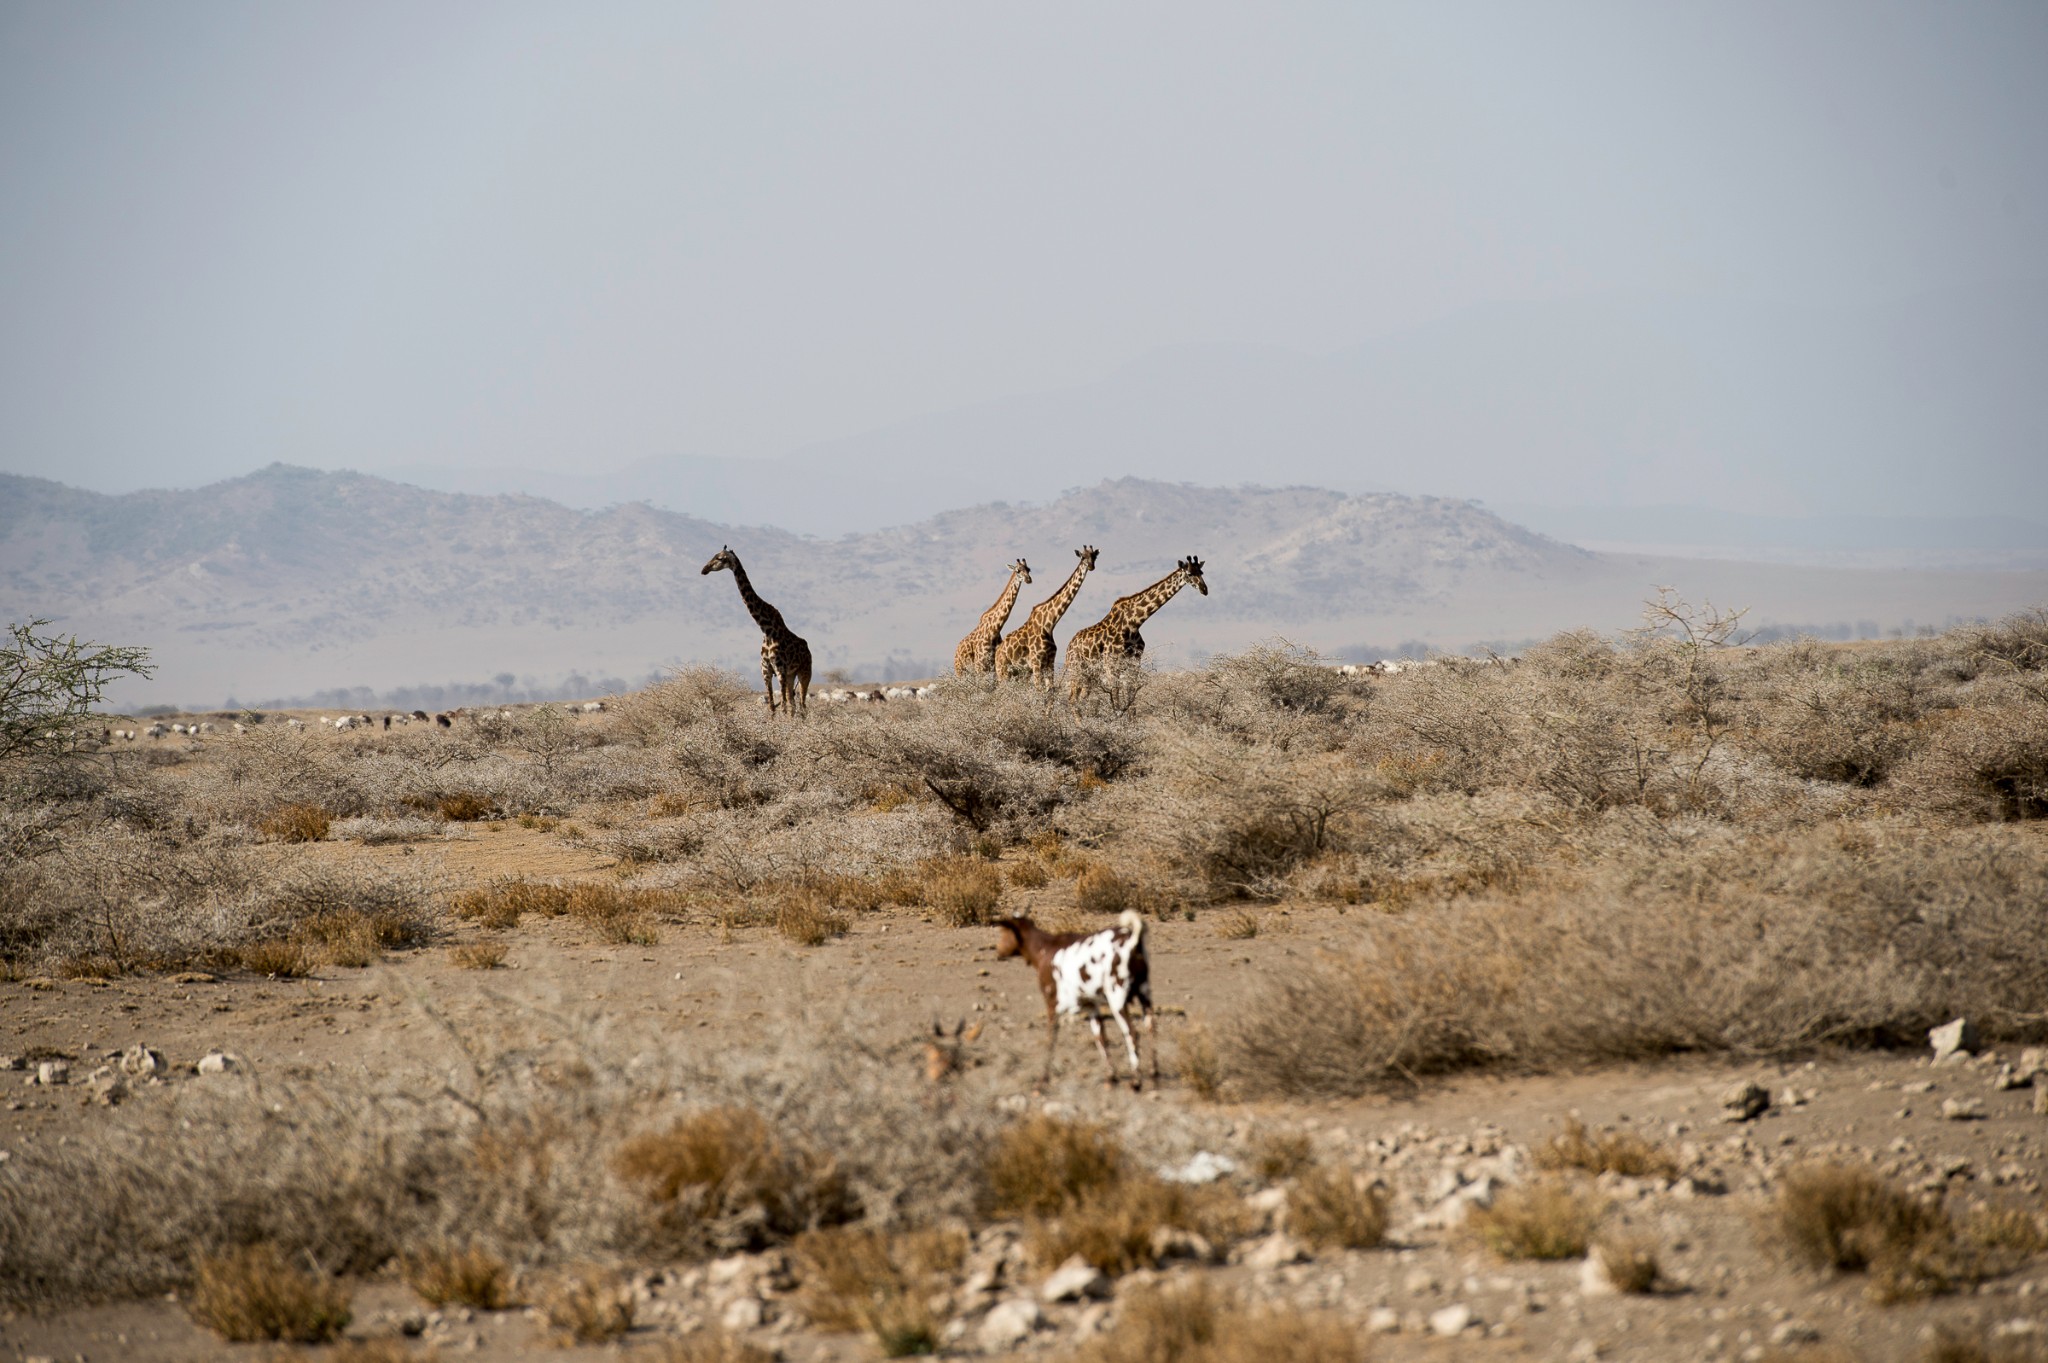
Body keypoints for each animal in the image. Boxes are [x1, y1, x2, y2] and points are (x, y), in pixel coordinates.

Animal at [696, 540, 806, 716]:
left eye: (719, 558)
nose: (704, 569)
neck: (766, 629)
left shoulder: (780, 670)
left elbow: (782, 707)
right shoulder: (766, 671)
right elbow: (772, 707)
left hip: (803, 672)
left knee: (801, 704)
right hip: (791, 675)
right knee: (794, 704)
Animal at [995, 544, 1105, 691]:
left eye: (1094, 556)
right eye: (1082, 557)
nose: (1091, 566)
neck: (1049, 623)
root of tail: (997, 652)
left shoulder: (1049, 662)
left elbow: (1050, 691)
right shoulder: (1036, 662)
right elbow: (1039, 690)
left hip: (1018, 673)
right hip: (1003, 671)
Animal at [995, 908, 1163, 1088]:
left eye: (1004, 931)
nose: (998, 950)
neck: (1045, 948)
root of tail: (1132, 940)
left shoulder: (1052, 1005)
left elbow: (1050, 1040)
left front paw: (1043, 1079)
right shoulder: (1091, 1006)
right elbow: (1100, 1038)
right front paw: (1111, 1076)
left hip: (1117, 1000)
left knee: (1132, 1033)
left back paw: (1136, 1080)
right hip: (1145, 995)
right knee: (1151, 1028)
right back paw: (1153, 1072)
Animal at [1064, 552, 1204, 699]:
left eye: (1201, 572)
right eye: (1189, 573)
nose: (1204, 589)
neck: (1134, 622)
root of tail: (1068, 648)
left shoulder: (1134, 663)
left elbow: (1131, 696)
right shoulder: (1111, 665)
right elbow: (1115, 696)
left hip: (1090, 674)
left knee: (1081, 697)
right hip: (1077, 669)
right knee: (1073, 698)